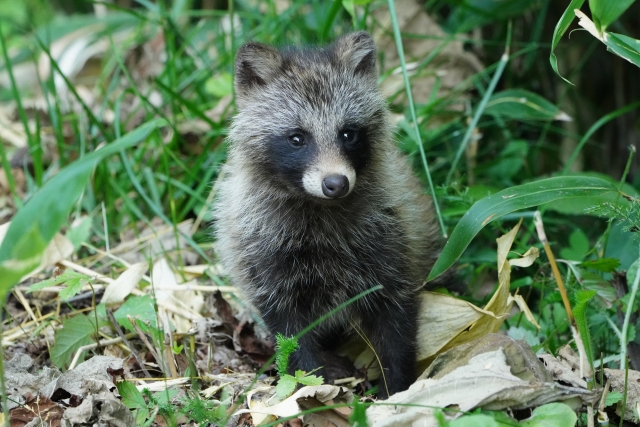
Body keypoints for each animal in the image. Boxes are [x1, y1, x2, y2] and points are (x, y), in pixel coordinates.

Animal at [214, 31, 440, 396]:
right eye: (297, 138)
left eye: (347, 133)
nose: (336, 183)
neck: (321, 208)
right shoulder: (264, 256)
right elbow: (290, 333)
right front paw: (307, 382)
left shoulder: (392, 243)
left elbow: (396, 324)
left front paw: (396, 387)